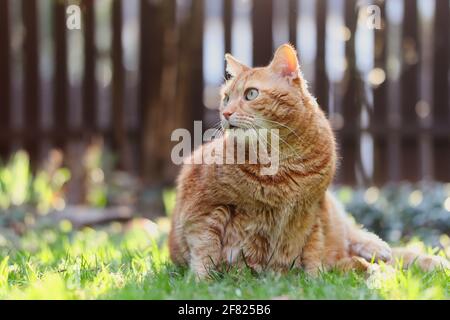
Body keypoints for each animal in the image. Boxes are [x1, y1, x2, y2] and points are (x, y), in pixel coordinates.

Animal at [169, 43, 450, 278]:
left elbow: (313, 252)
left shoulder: (312, 210)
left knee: (357, 238)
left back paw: (377, 250)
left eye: (251, 94)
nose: (225, 113)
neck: (282, 161)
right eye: (226, 98)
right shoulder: (205, 207)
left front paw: (314, 278)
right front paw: (203, 282)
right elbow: (205, 248)